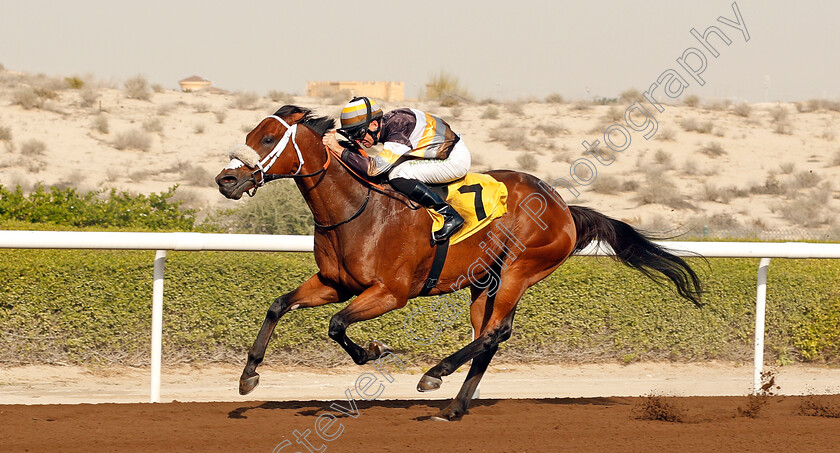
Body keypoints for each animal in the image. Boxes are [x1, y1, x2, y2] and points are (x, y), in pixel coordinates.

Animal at [213, 105, 700, 420]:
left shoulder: (391, 293)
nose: (226, 179)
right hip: (484, 282)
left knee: (493, 333)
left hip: (520, 269)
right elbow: (278, 305)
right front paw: (248, 377)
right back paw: (454, 406)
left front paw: (373, 351)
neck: (356, 208)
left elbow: (336, 326)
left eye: (269, 138)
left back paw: (434, 376)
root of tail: (564, 206)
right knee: (491, 335)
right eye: (253, 135)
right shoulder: (336, 283)